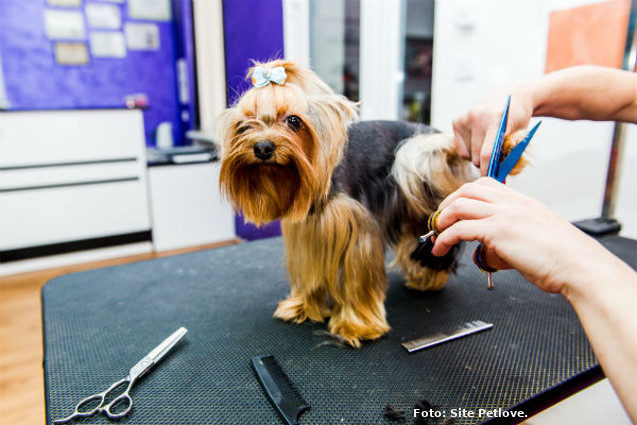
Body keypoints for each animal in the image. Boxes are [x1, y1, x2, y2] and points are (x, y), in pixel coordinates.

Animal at [219, 59, 520, 346]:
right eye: (243, 125)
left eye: (294, 121)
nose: (263, 147)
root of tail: (439, 138)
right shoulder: (308, 232)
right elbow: (310, 272)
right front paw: (303, 306)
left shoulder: (356, 230)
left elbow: (358, 280)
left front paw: (357, 326)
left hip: (424, 181)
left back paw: (428, 278)